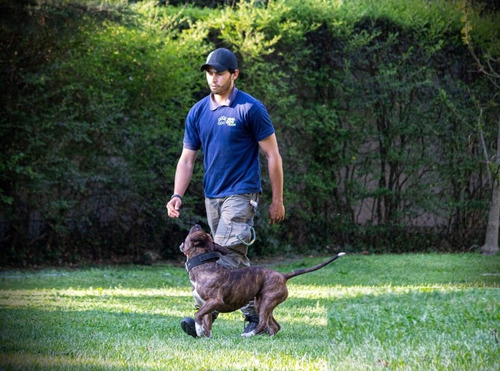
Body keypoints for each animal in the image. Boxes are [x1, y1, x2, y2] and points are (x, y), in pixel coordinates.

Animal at [179, 225, 344, 338]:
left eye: (196, 231)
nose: (197, 224)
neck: (203, 265)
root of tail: (283, 276)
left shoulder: (215, 301)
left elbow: (198, 315)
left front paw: (198, 330)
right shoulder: (205, 305)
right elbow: (206, 321)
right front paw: (205, 335)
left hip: (266, 301)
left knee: (263, 323)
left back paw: (248, 335)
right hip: (263, 304)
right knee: (275, 326)